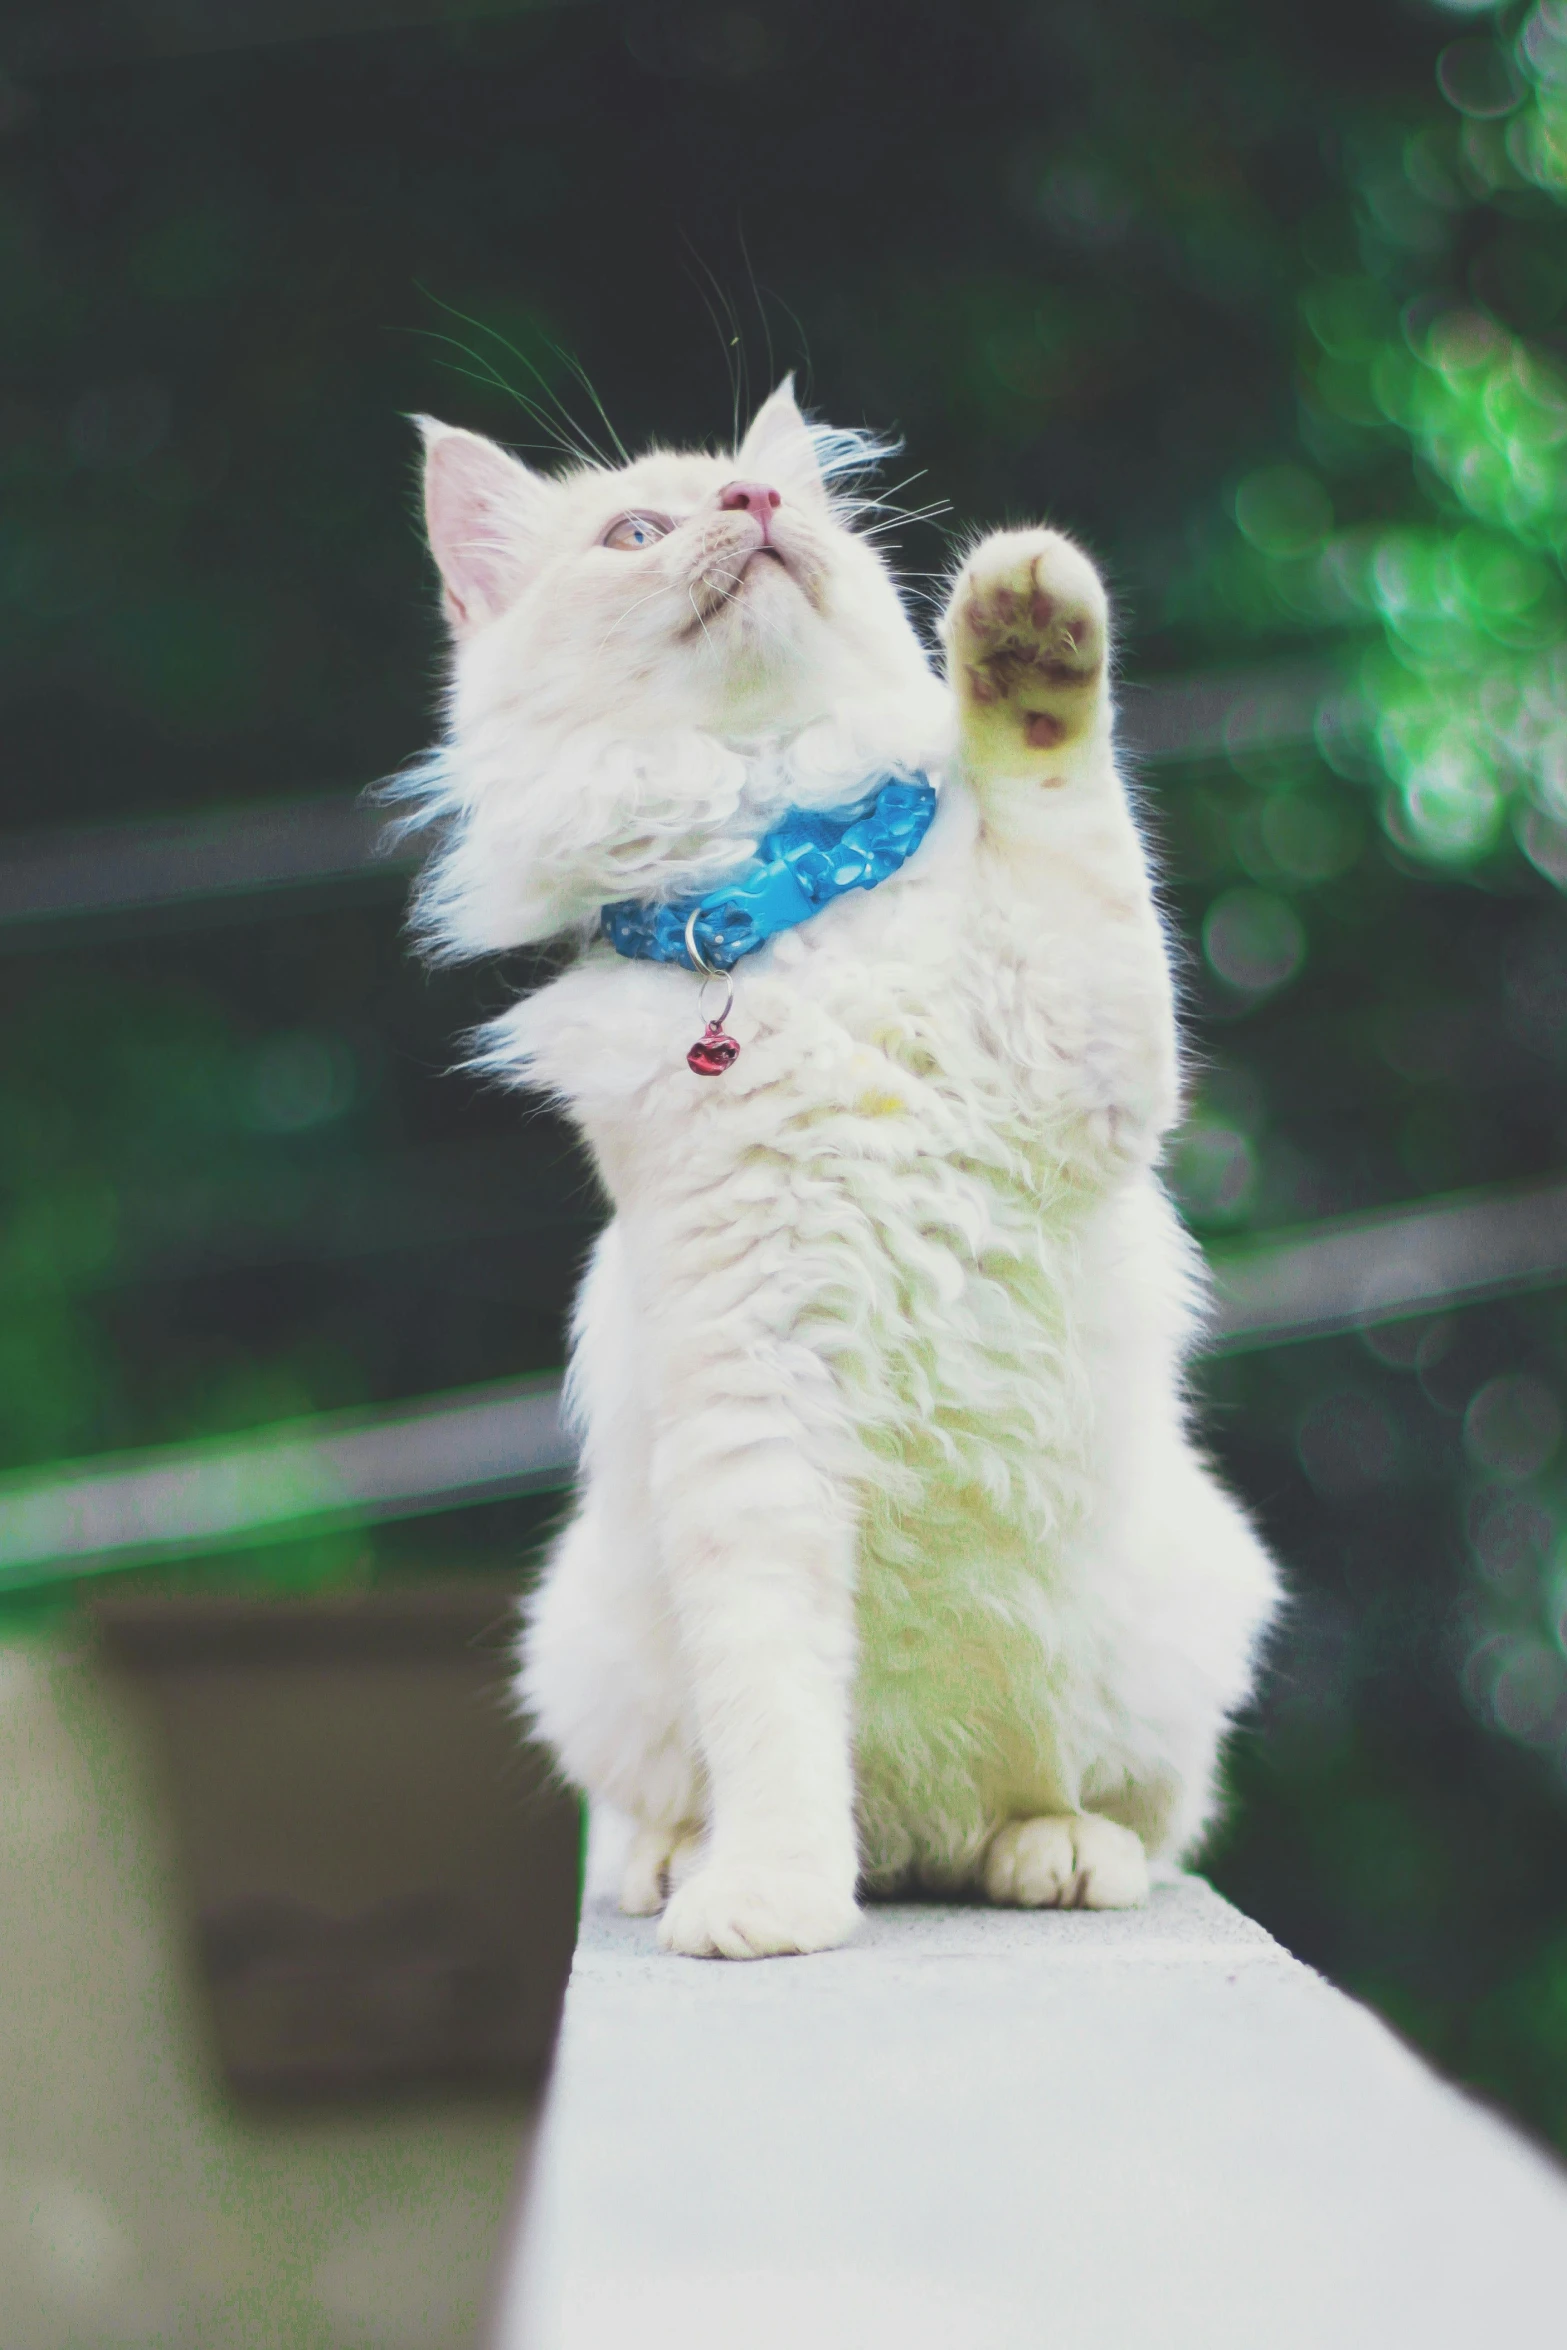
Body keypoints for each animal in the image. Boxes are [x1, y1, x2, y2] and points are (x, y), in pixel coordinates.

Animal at [408, 385, 1287, 1955]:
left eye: (780, 499)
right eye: (637, 531)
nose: (756, 510)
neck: (785, 911)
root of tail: (923, 1839)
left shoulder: (1097, 1051)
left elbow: (1060, 789)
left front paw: (1018, 632)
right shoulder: (753, 1422)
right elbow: (771, 1717)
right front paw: (769, 1901)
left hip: (1184, 1617)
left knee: (1119, 1814)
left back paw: (1055, 1853)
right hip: (576, 1639)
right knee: (670, 1805)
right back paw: (680, 1867)